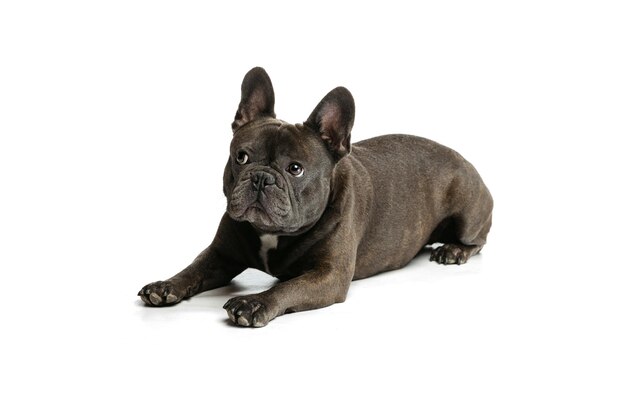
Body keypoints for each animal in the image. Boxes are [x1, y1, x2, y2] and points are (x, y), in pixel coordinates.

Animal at [138, 67, 492, 326]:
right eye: (241, 157)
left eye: (295, 169)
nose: (261, 177)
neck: (273, 234)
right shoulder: (221, 254)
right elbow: (193, 268)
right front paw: (166, 285)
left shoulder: (328, 275)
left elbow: (288, 286)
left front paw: (255, 302)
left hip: (467, 212)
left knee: (478, 240)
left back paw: (453, 251)